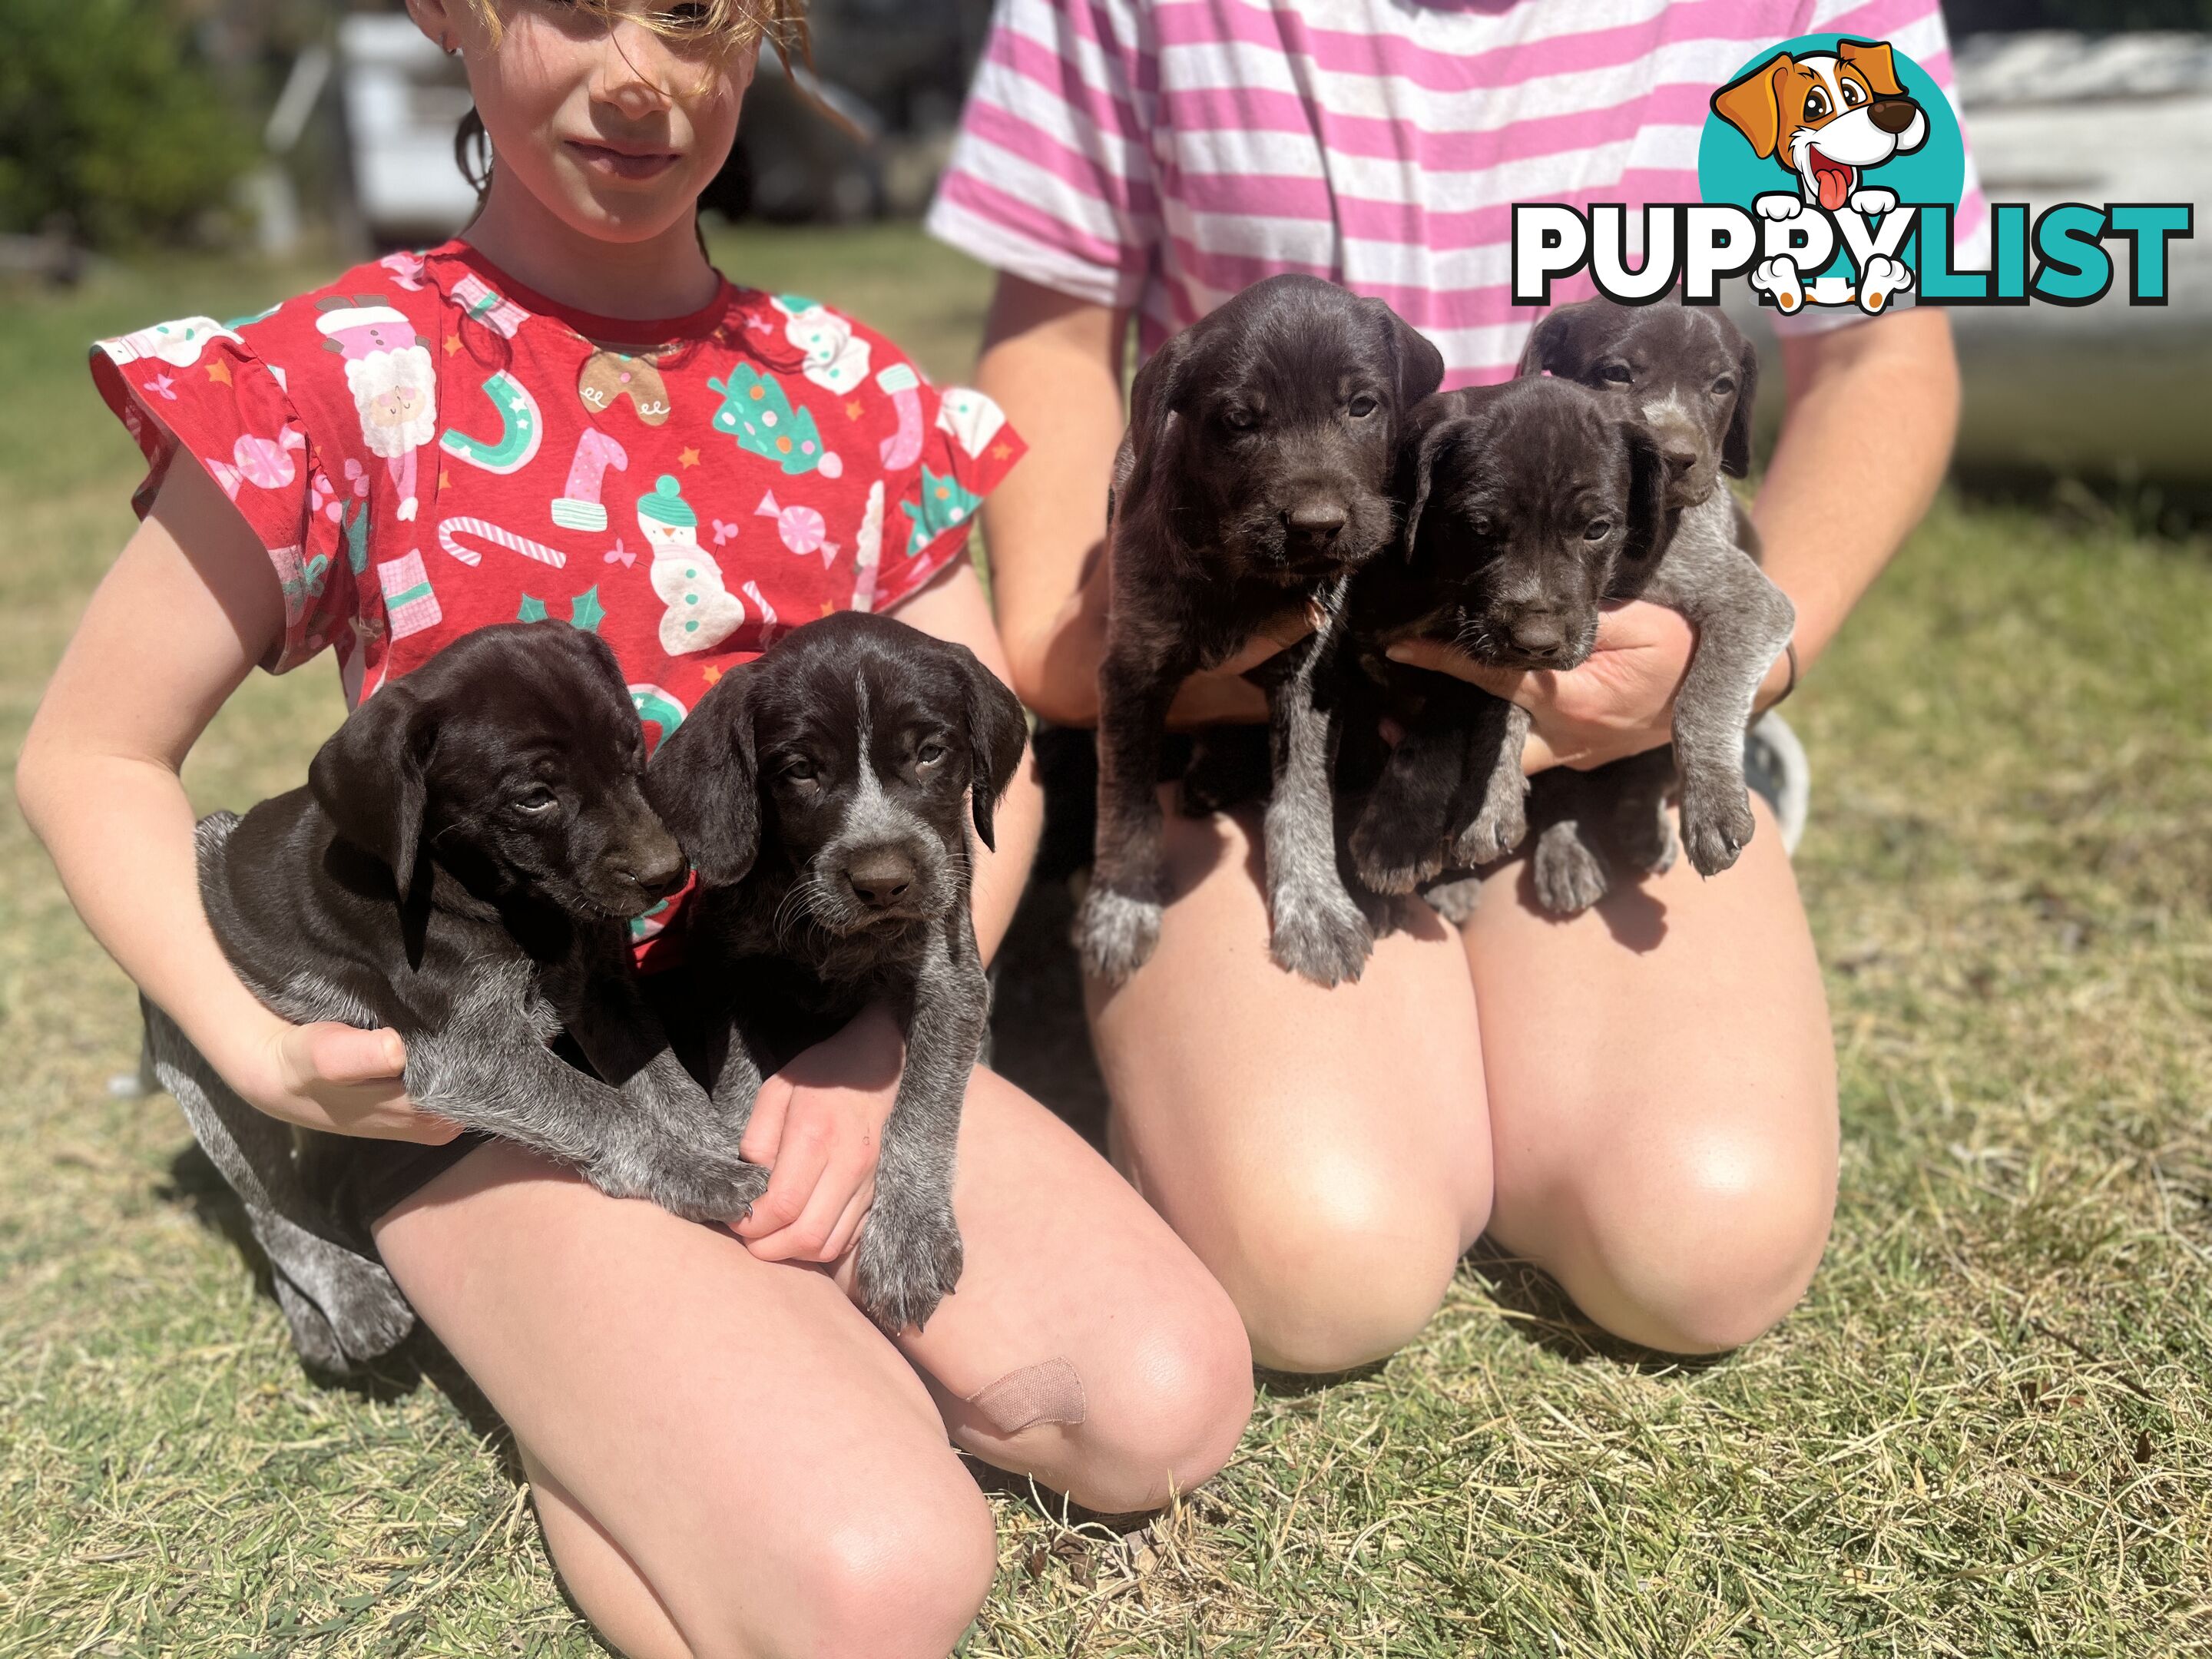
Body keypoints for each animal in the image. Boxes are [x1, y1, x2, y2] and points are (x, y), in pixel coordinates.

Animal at [144, 624, 770, 1380]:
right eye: (534, 796)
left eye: (631, 752)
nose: (670, 874)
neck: (503, 898)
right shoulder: (468, 1055)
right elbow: (604, 1107)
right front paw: (696, 1173)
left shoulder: (604, 992)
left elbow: (666, 1086)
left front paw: (714, 1143)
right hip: (202, 1058)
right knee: (267, 1205)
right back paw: (345, 1296)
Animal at [637, 610, 1022, 1336]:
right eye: (801, 771)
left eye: (930, 752)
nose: (883, 882)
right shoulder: (721, 969)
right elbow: (737, 1076)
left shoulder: (952, 981)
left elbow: (924, 1106)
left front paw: (908, 1237)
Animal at [1075, 273, 1451, 986]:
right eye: (1239, 422)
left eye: (1362, 406)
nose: (1317, 526)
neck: (1240, 576)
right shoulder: (1131, 670)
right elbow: (1126, 799)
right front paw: (1122, 903)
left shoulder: (1311, 682)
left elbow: (1301, 799)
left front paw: (1316, 907)